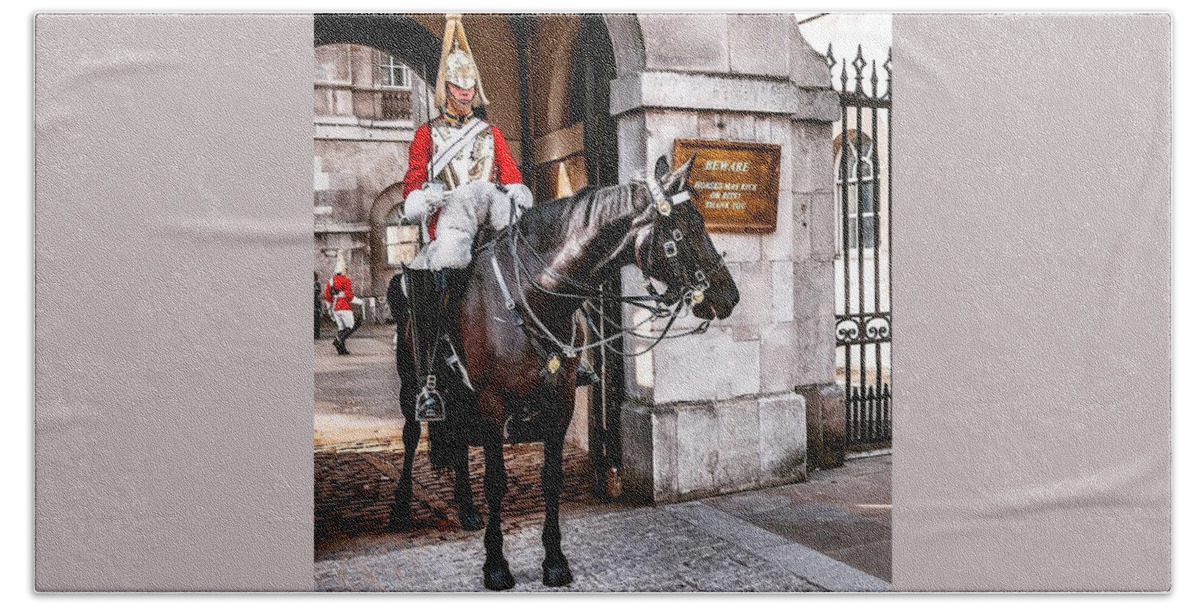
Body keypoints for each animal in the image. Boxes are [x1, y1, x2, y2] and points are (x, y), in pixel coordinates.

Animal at [388, 157, 734, 590]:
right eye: (687, 227)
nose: (730, 295)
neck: (532, 295)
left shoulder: (561, 397)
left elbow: (551, 478)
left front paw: (554, 559)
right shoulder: (492, 402)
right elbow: (496, 482)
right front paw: (496, 565)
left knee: (459, 441)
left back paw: (466, 509)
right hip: (413, 381)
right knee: (412, 434)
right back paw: (402, 507)